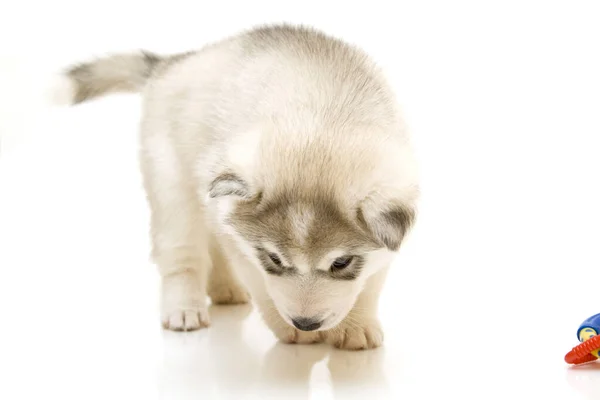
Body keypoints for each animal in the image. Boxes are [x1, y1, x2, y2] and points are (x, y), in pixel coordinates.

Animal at [58, 25, 420, 350]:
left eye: (341, 263)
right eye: (274, 259)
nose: (305, 322)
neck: (321, 129)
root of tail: (175, 62)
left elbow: (369, 285)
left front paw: (356, 325)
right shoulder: (244, 246)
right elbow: (261, 284)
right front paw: (290, 329)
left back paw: (224, 290)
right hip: (173, 183)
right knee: (183, 252)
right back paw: (184, 308)